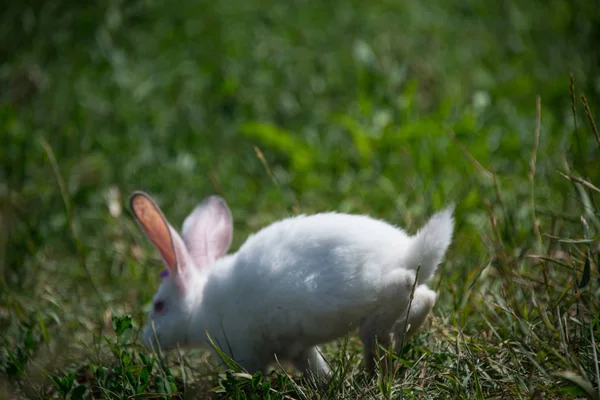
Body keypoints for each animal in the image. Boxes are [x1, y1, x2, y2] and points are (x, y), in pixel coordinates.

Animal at [130, 192, 450, 376]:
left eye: (159, 306)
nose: (146, 338)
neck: (199, 307)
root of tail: (407, 253)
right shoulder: (298, 351)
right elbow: (315, 370)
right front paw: (326, 383)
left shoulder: (244, 355)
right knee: (425, 298)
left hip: (371, 292)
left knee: (401, 290)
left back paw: (375, 359)